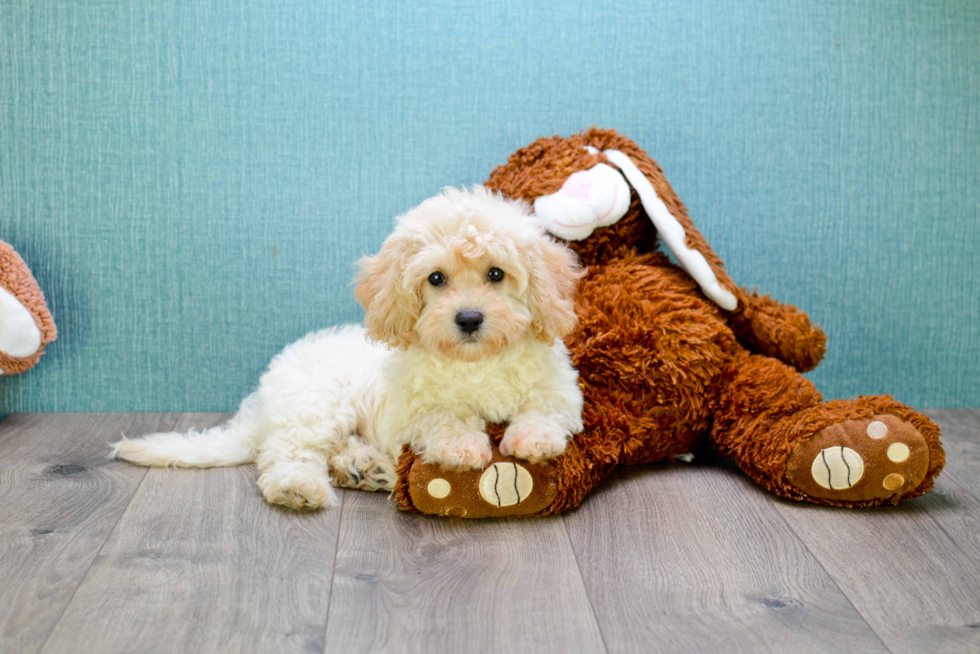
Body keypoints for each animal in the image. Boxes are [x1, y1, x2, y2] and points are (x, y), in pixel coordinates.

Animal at [111, 187, 580, 510]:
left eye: (496, 273)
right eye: (436, 279)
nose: (468, 319)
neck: (475, 361)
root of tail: (261, 401)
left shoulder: (561, 388)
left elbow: (545, 406)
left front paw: (534, 438)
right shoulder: (410, 409)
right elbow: (440, 415)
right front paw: (460, 445)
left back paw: (365, 469)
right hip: (315, 407)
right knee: (286, 454)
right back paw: (301, 486)